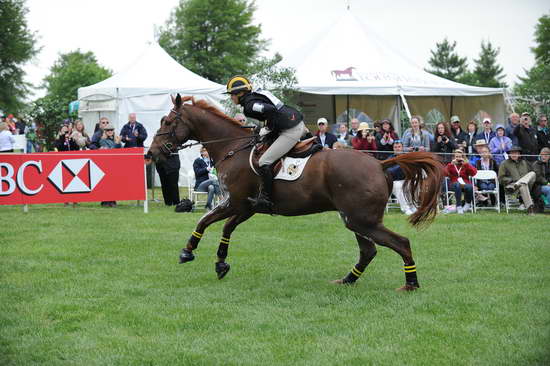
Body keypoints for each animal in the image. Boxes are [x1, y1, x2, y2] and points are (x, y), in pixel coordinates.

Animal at [149, 94, 446, 292]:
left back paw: (410, 283)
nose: (151, 153)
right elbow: (226, 229)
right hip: (355, 220)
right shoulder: (247, 207)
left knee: (400, 243)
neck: (232, 147)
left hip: (363, 220)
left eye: (167, 121)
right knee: (368, 251)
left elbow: (205, 221)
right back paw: (347, 280)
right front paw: (221, 264)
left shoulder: (235, 202)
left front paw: (187, 252)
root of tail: (379, 163)